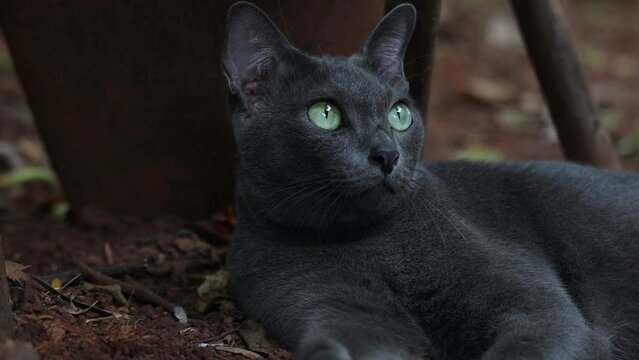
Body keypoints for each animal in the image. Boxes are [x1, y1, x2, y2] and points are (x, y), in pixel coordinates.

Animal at [221, 2, 639, 360]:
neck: (362, 241)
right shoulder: (332, 305)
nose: (387, 155)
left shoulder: (541, 311)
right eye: (324, 114)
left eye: (399, 114)